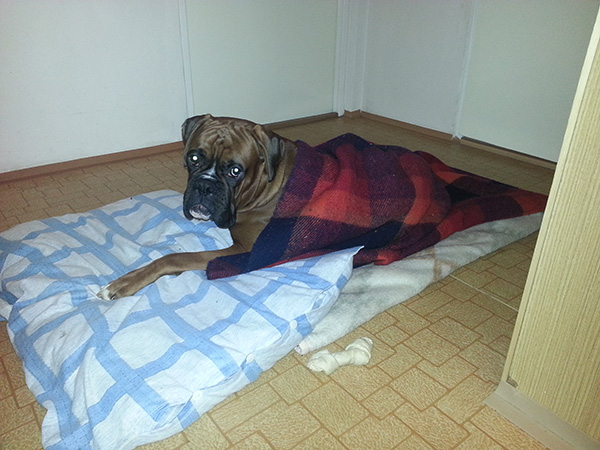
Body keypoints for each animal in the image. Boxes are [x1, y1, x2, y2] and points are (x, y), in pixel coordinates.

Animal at [98, 114, 297, 300]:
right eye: (193, 158)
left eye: (235, 171)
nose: (204, 186)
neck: (266, 187)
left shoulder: (247, 251)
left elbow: (174, 258)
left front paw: (125, 283)